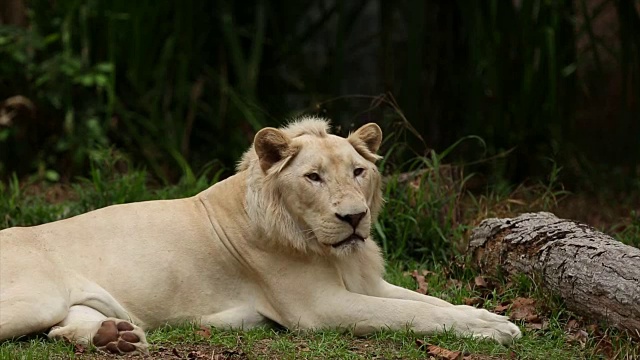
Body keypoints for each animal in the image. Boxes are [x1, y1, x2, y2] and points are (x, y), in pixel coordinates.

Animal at [0, 116, 520, 352]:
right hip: (37, 297)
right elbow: (411, 314)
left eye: (358, 171)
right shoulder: (319, 308)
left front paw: (490, 318)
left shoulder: (368, 283)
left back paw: (116, 337)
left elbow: (431, 301)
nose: (354, 218)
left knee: (64, 327)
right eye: (313, 177)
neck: (333, 253)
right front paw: (493, 330)